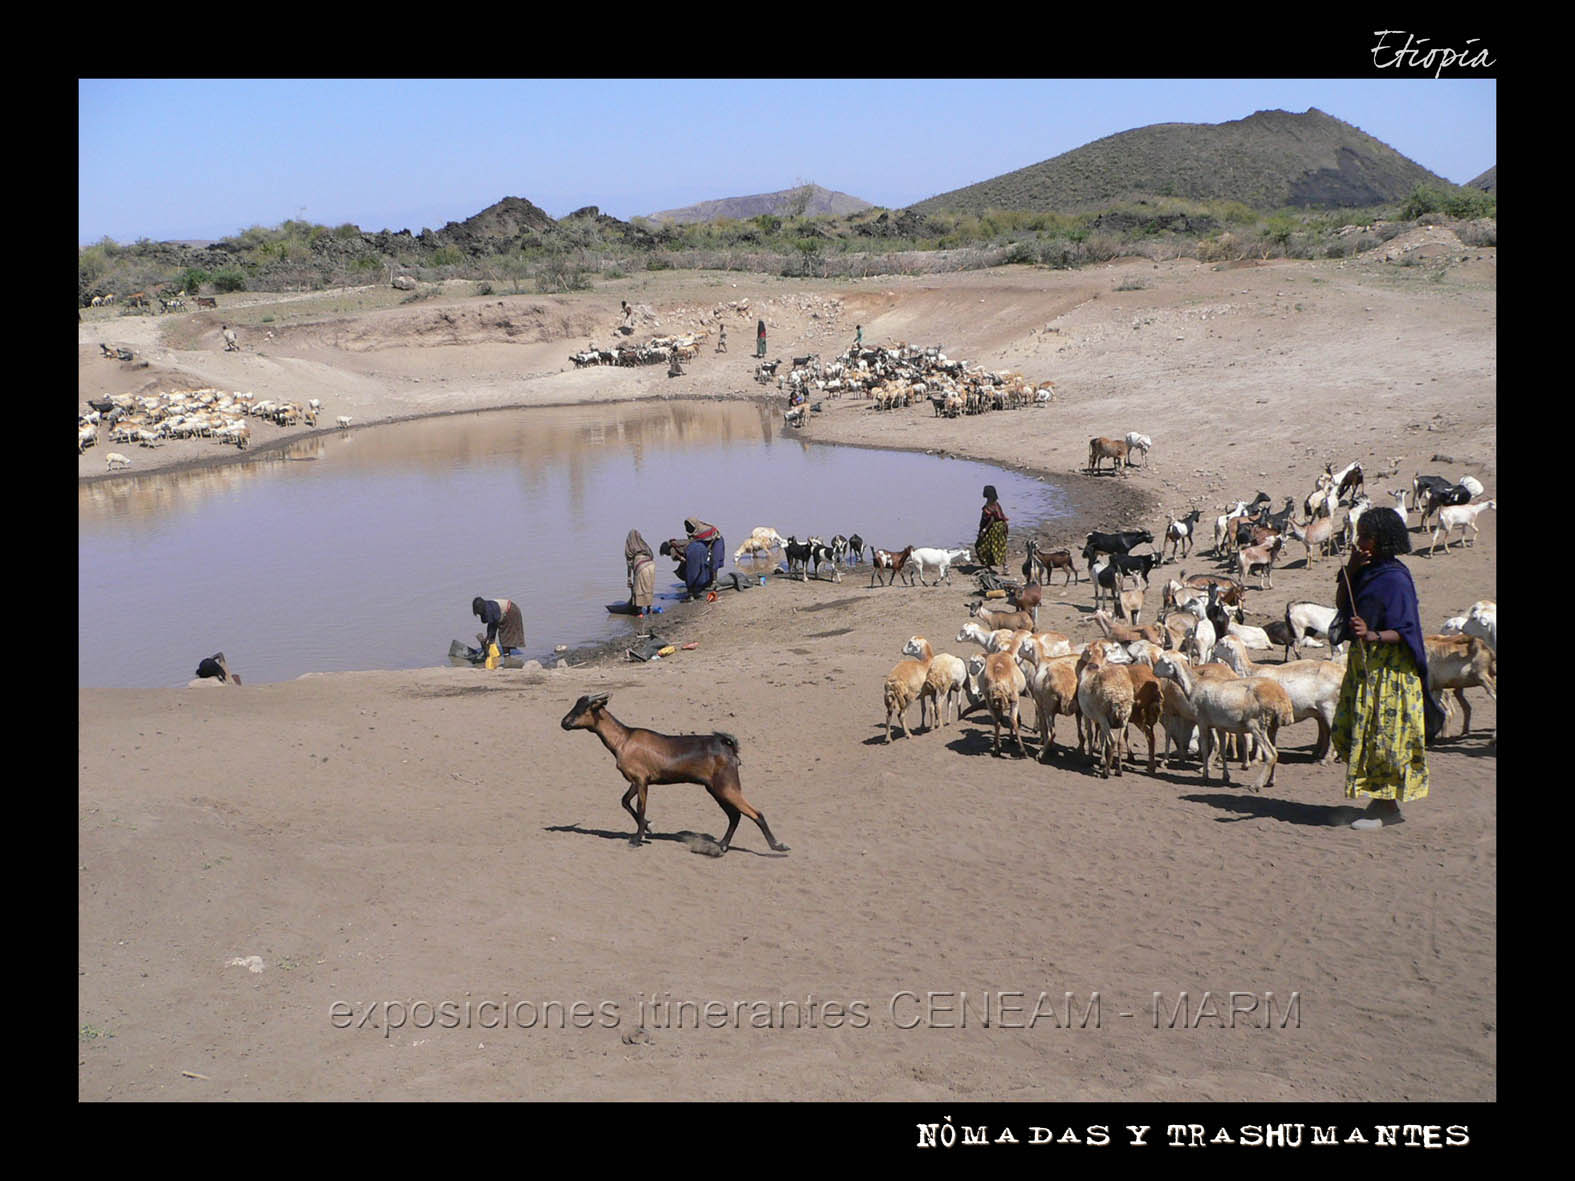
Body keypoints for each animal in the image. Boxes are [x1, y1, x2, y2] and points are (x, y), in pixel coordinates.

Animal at [563, 689, 793, 856]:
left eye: (582, 709)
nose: (564, 723)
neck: (623, 739)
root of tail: (729, 747)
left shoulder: (641, 779)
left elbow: (640, 806)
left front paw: (637, 838)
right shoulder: (635, 781)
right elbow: (625, 802)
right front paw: (648, 828)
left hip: (727, 786)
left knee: (755, 813)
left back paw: (778, 846)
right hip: (715, 788)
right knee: (734, 815)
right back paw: (722, 846)